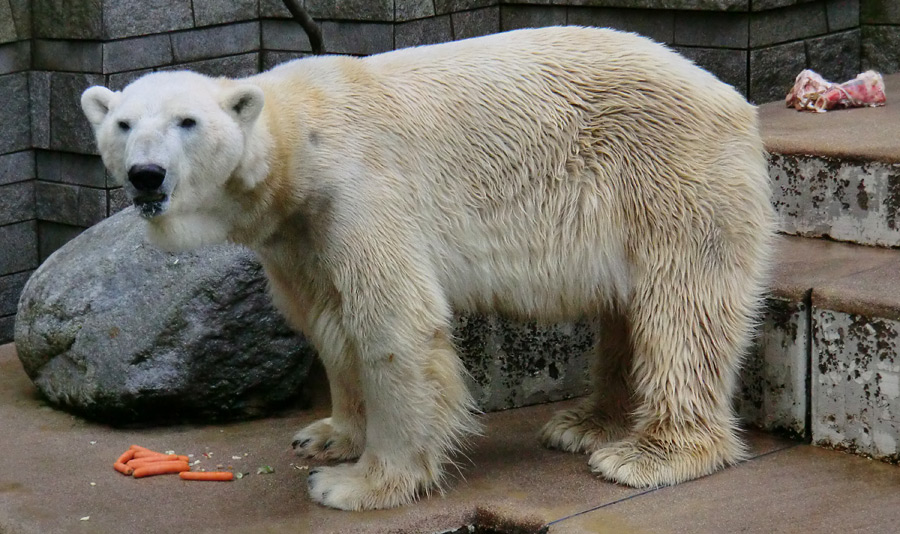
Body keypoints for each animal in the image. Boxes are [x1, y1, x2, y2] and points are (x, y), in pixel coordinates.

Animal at [81, 27, 776, 512]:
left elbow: (393, 323)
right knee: (628, 310)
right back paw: (583, 424)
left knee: (681, 309)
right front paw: (327, 436)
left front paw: (356, 485)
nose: (147, 175)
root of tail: (731, 98)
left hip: (668, 175)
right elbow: (329, 321)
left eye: (188, 122)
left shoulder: (361, 189)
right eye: (123, 123)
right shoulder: (299, 232)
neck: (299, 141)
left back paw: (647, 455)